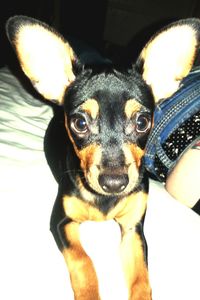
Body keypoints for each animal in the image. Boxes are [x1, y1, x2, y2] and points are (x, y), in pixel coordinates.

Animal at [5, 16, 200, 300]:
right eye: (79, 123)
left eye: (142, 122)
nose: (114, 183)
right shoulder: (61, 222)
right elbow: (83, 261)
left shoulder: (133, 230)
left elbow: (142, 280)